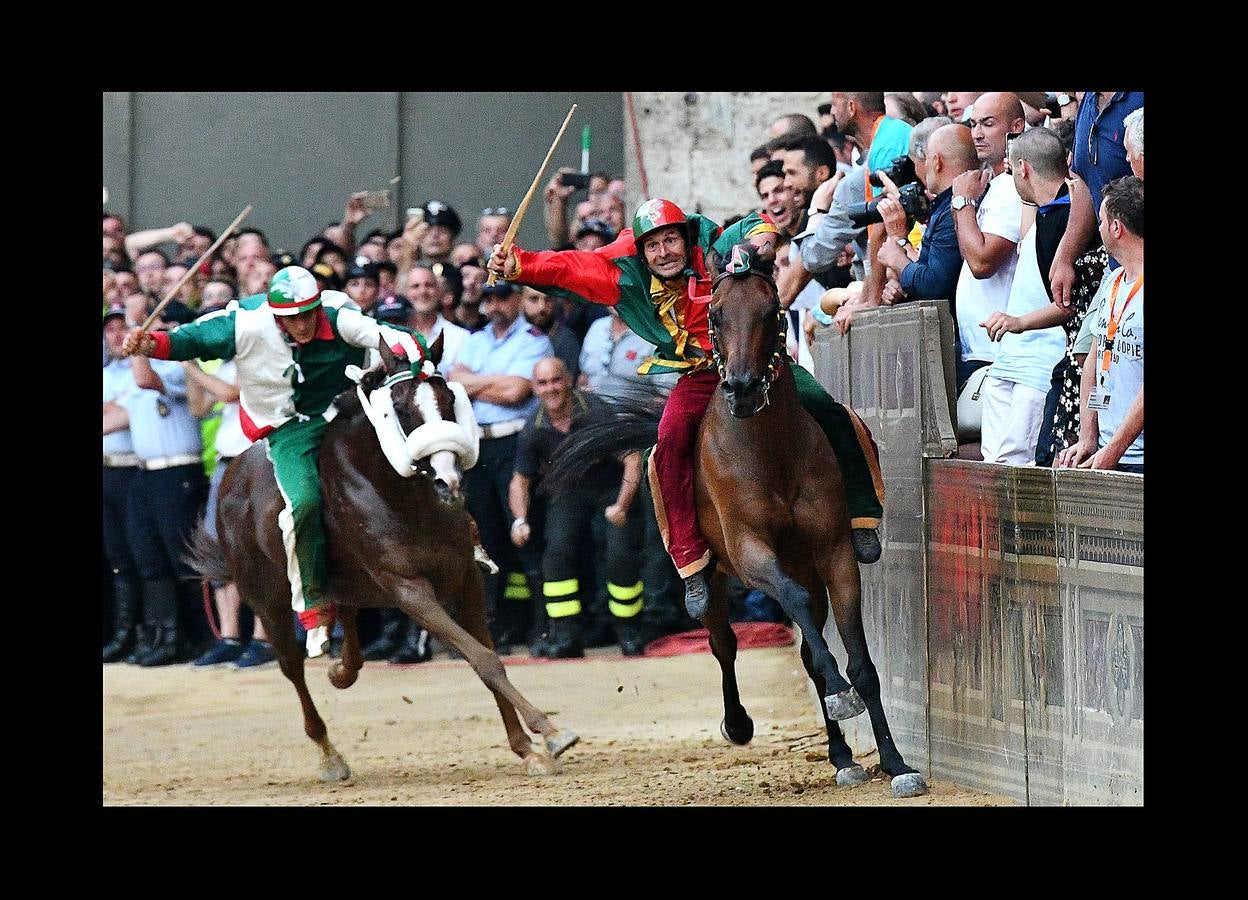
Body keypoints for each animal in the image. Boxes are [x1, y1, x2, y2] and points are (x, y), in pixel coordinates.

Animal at [189, 334, 579, 783]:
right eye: (403, 408)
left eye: (449, 400)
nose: (449, 481)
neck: (399, 495)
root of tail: (230, 474)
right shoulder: (409, 589)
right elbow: (482, 658)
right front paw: (550, 732)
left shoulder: (466, 578)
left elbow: (488, 656)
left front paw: (528, 748)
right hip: (267, 599)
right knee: (291, 666)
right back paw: (329, 754)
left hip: (350, 585)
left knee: (348, 625)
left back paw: (342, 671)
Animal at [549, 247, 928, 798]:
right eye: (716, 313)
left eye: (772, 312)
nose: (743, 388)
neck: (771, 451)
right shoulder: (751, 552)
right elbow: (792, 608)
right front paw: (839, 695)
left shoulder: (833, 553)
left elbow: (860, 662)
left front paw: (896, 763)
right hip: (714, 576)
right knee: (724, 642)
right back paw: (739, 721)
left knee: (808, 652)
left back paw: (841, 756)